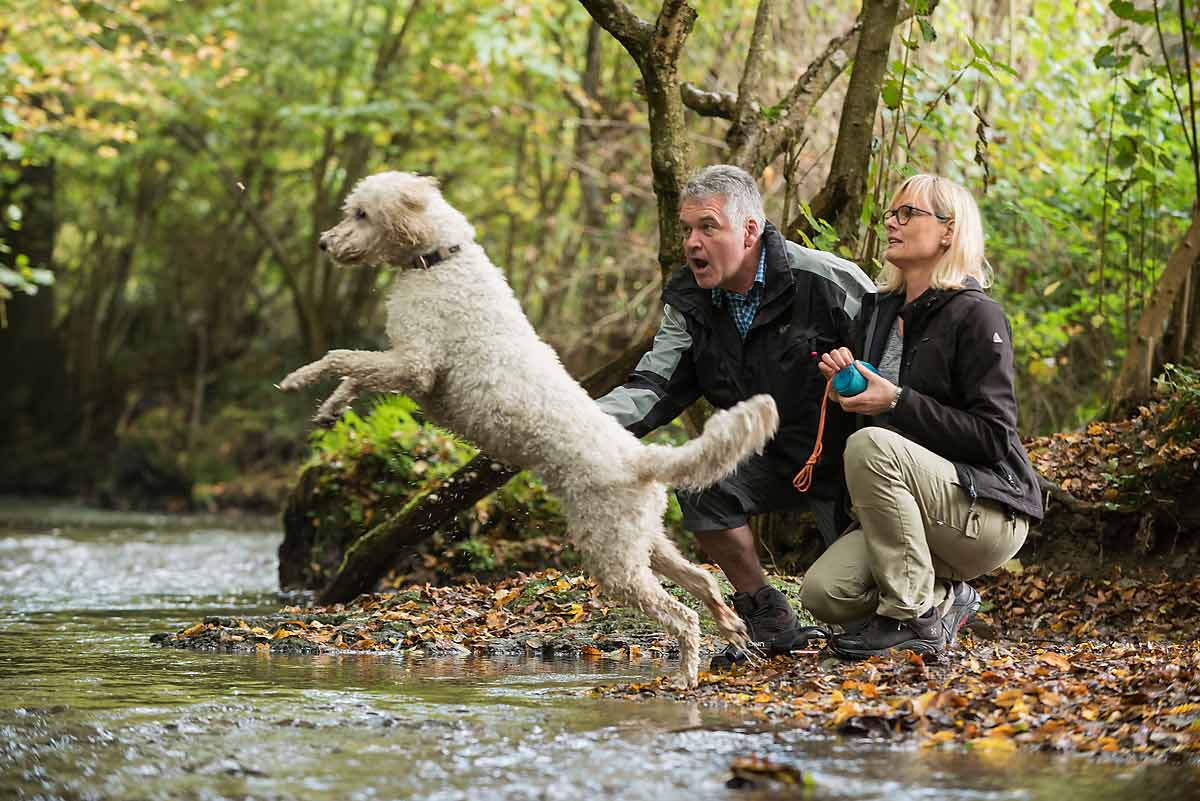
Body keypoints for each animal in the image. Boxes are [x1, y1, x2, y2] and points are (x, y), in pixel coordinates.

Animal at [279, 172, 777, 685]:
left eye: (361, 214)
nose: (323, 242)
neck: (438, 260)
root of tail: (642, 458)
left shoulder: (416, 366)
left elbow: (342, 358)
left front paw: (299, 377)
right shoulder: (403, 364)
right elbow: (355, 374)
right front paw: (329, 409)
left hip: (614, 556)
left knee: (682, 615)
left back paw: (684, 675)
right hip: (645, 541)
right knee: (703, 579)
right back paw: (732, 627)